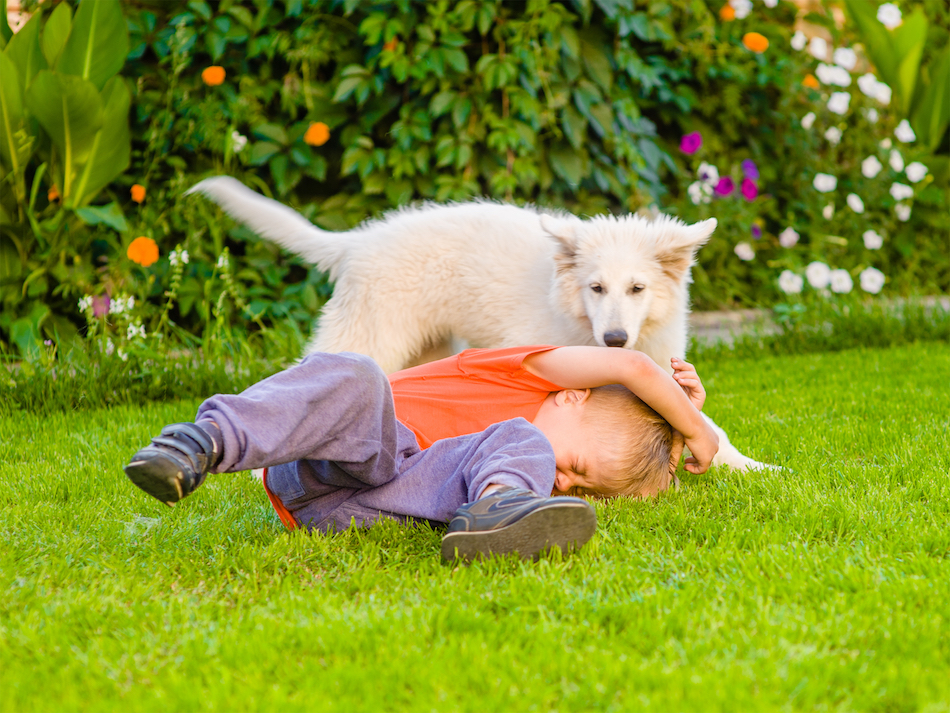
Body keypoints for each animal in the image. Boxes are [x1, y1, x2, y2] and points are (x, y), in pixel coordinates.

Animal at [192, 175, 772, 470]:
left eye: (637, 289)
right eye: (595, 288)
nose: (614, 340)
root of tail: (356, 243)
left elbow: (704, 422)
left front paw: (753, 468)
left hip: (426, 345)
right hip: (371, 331)